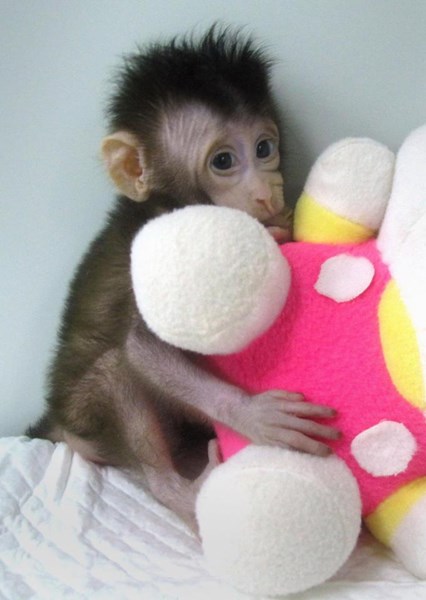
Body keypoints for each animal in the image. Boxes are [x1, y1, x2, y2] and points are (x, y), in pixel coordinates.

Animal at [27, 25, 340, 530]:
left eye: (264, 148)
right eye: (224, 161)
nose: (267, 193)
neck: (167, 206)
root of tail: (52, 422)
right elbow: (141, 346)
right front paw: (252, 414)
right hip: (85, 423)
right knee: (114, 370)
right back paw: (178, 493)